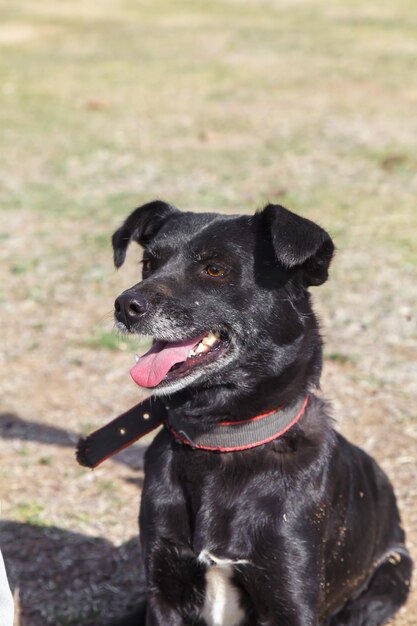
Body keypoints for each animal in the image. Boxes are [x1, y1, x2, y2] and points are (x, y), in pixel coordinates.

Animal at [109, 201, 410, 624]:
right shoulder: (164, 593)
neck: (222, 438)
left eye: (215, 269)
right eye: (148, 264)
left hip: (391, 576)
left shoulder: (289, 600)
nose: (125, 306)